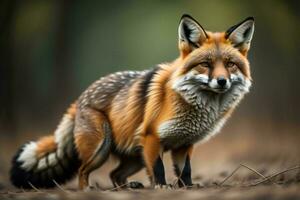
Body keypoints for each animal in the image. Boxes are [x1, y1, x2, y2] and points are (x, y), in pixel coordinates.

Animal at [9, 14, 253, 190]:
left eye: (230, 64)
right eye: (206, 64)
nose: (222, 81)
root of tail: (79, 99)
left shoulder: (184, 144)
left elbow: (185, 171)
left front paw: (187, 188)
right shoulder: (152, 137)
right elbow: (158, 169)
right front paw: (162, 187)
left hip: (135, 157)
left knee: (114, 173)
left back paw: (128, 187)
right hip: (102, 148)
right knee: (83, 171)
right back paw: (87, 190)